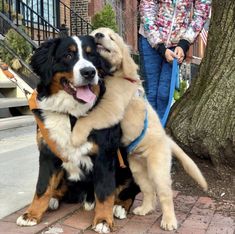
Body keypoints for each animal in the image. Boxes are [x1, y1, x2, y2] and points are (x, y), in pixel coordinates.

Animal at [17, 34, 140, 230]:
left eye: (92, 56)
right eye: (68, 55)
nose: (89, 72)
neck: (71, 114)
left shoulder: (104, 155)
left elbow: (105, 191)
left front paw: (103, 220)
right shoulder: (48, 153)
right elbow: (42, 187)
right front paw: (32, 214)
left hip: (130, 165)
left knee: (129, 191)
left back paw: (120, 207)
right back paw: (54, 198)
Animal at [70, 27, 207, 230]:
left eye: (111, 37)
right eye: (94, 34)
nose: (98, 36)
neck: (115, 75)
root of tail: (167, 140)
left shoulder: (111, 108)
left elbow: (88, 119)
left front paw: (76, 136)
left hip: (158, 168)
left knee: (165, 195)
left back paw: (169, 221)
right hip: (137, 169)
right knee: (149, 191)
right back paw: (145, 209)